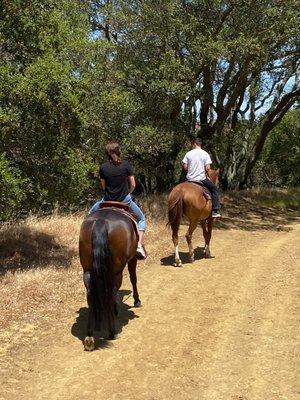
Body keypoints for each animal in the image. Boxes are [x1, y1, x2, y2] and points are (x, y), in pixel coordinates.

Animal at [79, 206, 141, 350]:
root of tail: (101, 221)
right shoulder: (132, 259)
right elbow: (133, 278)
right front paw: (136, 300)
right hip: (116, 271)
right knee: (111, 292)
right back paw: (112, 331)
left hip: (87, 271)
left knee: (91, 294)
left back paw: (90, 336)